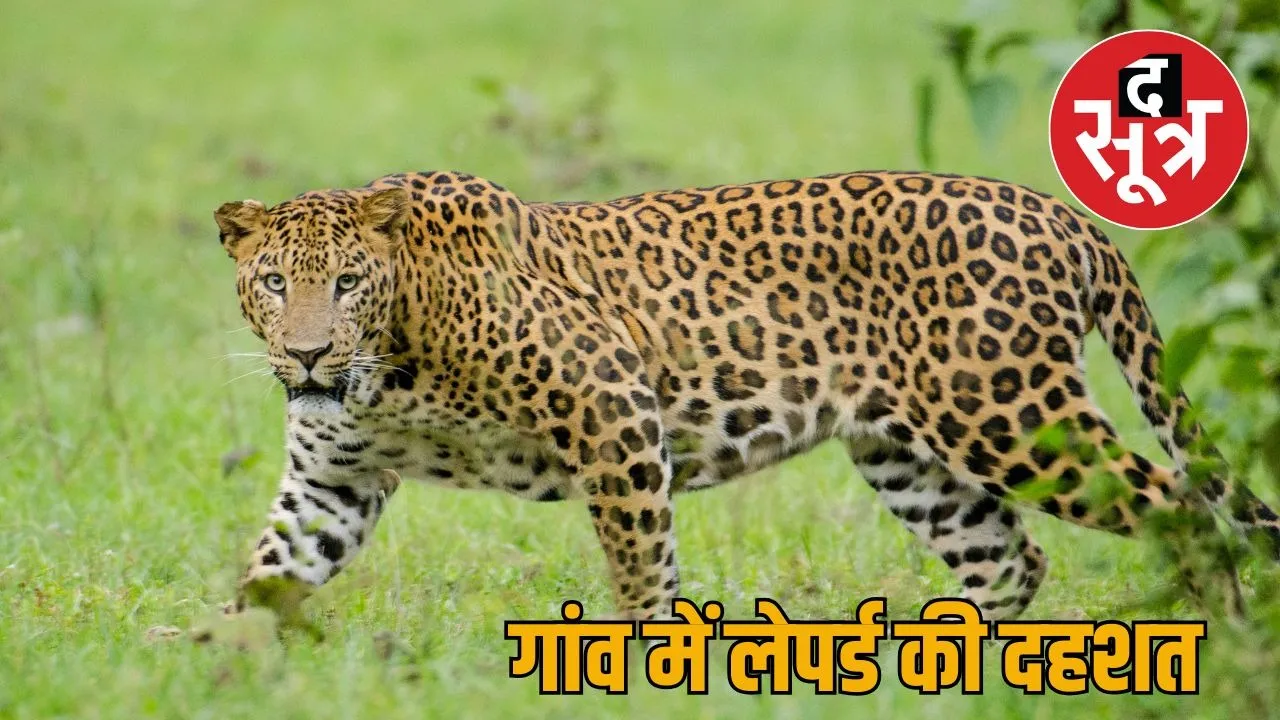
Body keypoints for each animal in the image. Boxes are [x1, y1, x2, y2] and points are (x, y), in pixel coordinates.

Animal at [214, 169, 1280, 626]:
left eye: (347, 282)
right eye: (273, 283)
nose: (307, 355)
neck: (390, 363)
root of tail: (1060, 213)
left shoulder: (614, 407)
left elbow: (641, 567)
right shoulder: (333, 484)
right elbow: (268, 571)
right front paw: (214, 663)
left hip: (1012, 415)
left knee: (1184, 509)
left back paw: (1230, 644)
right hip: (909, 455)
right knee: (1010, 560)